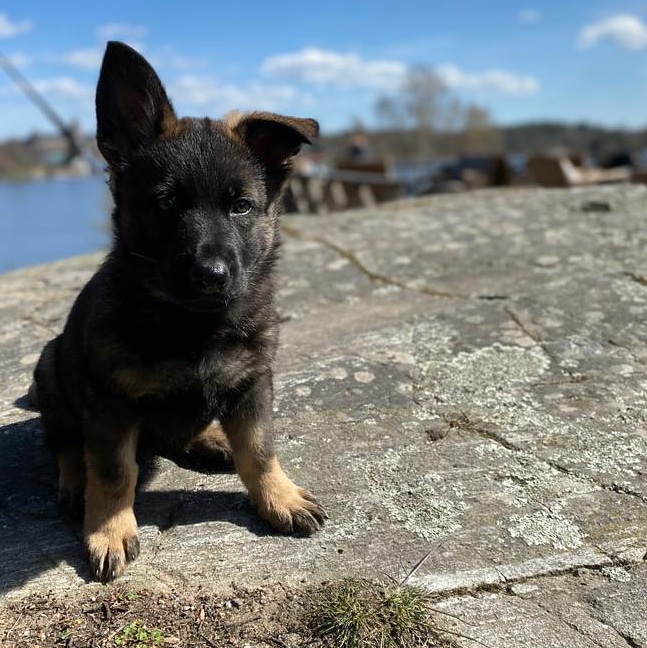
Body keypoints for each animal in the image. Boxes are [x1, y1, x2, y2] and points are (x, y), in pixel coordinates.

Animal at [30, 43, 324, 584]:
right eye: (166, 203)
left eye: (241, 206)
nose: (211, 274)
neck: (193, 325)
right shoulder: (111, 402)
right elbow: (114, 471)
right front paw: (108, 529)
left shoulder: (253, 381)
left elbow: (259, 448)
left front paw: (279, 497)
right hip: (50, 369)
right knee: (66, 444)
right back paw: (75, 482)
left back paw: (211, 438)